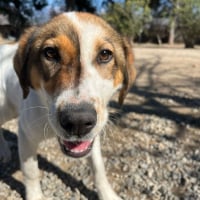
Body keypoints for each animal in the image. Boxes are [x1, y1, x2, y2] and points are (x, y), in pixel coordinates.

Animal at [0, 11, 136, 199]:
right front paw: (35, 195)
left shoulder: (93, 137)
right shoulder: (26, 135)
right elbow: (31, 172)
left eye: (105, 54)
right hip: (6, 111)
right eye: (50, 53)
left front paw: (107, 194)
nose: (78, 122)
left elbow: (99, 168)